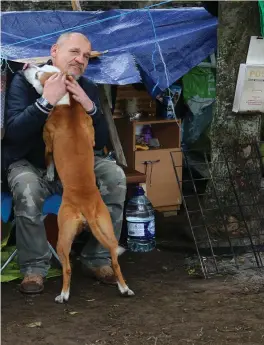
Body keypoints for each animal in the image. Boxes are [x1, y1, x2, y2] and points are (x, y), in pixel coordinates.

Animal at [23, 64, 135, 300]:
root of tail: (87, 209)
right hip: (106, 227)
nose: (27, 65)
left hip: (63, 235)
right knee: (114, 260)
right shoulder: (90, 132)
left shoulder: (47, 141)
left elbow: (48, 159)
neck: (67, 102)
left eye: (39, 73)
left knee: (67, 267)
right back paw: (124, 288)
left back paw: (63, 295)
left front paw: (49, 174)